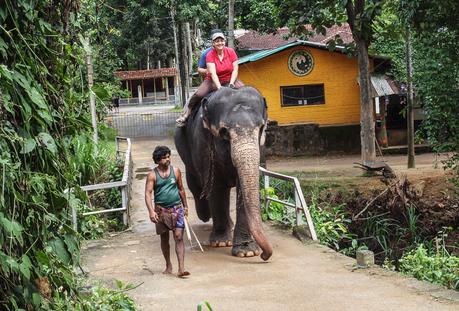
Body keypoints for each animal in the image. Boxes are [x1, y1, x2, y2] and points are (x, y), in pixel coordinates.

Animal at [174, 85, 272, 260]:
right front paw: (221, 243)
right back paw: (205, 215)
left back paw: (229, 225)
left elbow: (242, 187)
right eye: (224, 131)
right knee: (194, 183)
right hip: (184, 149)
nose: (264, 256)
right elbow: (215, 185)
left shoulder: (260, 146)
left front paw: (247, 252)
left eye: (261, 128)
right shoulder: (203, 142)